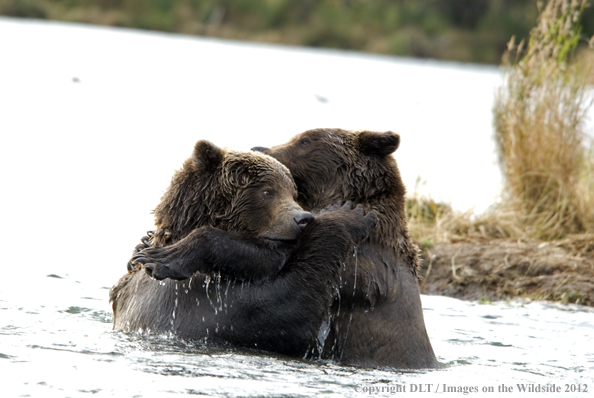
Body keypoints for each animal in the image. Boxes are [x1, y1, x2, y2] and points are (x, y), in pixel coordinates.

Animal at [109, 141, 376, 358]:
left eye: (293, 192)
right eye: (267, 191)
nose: (303, 219)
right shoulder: (203, 300)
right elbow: (285, 314)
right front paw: (347, 213)